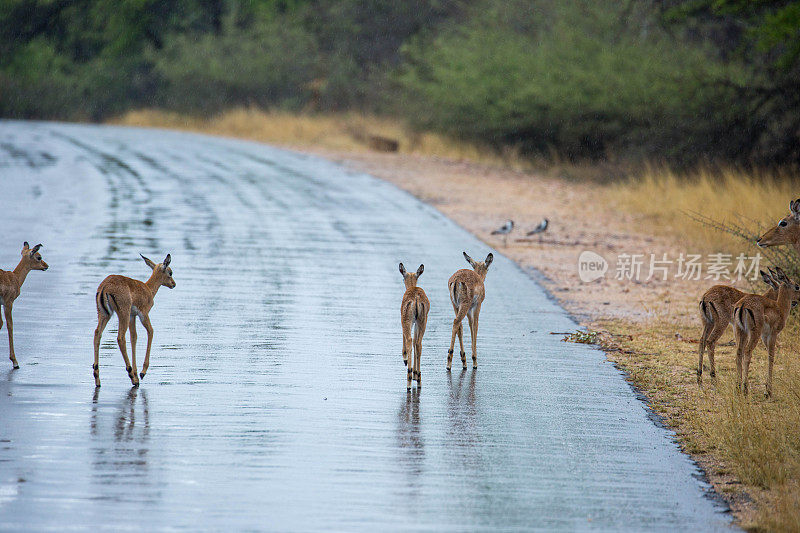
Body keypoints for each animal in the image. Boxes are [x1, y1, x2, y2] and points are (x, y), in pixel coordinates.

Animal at [94, 254, 175, 386]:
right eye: (170, 272)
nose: (173, 284)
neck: (148, 289)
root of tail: (105, 286)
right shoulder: (143, 314)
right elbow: (151, 331)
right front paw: (141, 373)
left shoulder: (133, 317)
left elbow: (134, 338)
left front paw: (137, 373)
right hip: (123, 314)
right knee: (120, 338)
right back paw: (131, 376)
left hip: (105, 314)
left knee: (97, 334)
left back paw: (97, 378)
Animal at [732, 266, 800, 394]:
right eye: (797, 286)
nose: (795, 302)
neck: (780, 308)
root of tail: (742, 304)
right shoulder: (773, 334)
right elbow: (771, 356)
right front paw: (768, 390)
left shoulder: (764, 336)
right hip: (754, 333)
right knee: (747, 352)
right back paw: (745, 388)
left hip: (741, 331)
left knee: (739, 352)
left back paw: (738, 387)